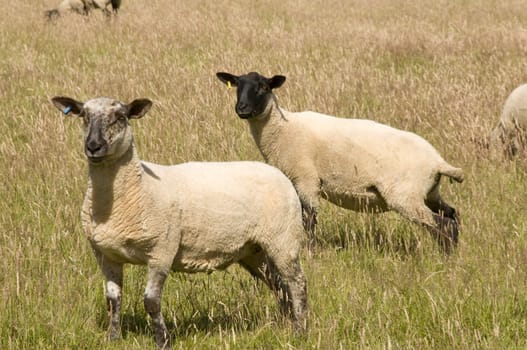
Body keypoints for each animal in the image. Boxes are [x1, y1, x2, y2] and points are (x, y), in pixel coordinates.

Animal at [51, 95, 308, 350]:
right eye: (84, 116)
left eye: (120, 117)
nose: (93, 146)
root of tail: (278, 173)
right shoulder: (106, 255)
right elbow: (113, 300)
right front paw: (112, 339)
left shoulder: (162, 250)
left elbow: (151, 301)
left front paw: (162, 340)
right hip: (254, 250)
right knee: (279, 285)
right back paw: (286, 322)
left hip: (283, 239)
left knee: (297, 283)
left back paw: (299, 329)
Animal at [217, 71, 464, 253]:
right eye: (237, 86)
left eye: (263, 87)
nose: (241, 109)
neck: (283, 130)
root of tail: (438, 161)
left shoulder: (306, 180)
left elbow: (309, 220)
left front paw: (310, 252)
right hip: (429, 192)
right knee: (452, 216)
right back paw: (452, 255)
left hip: (405, 195)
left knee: (441, 224)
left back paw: (445, 258)